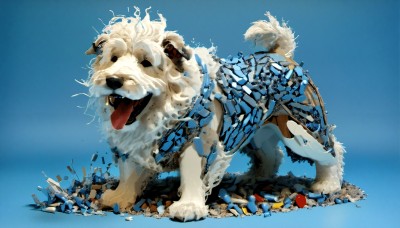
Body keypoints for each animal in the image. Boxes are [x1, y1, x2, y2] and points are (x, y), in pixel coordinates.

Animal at [84, 9, 344, 221]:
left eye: (146, 62)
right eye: (113, 58)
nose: (113, 80)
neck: (163, 108)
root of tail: (282, 54)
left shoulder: (198, 141)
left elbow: (191, 172)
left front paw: (188, 207)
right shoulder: (135, 144)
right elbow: (129, 172)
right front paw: (120, 197)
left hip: (303, 128)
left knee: (332, 151)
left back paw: (327, 184)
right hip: (255, 130)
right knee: (272, 154)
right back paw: (254, 177)